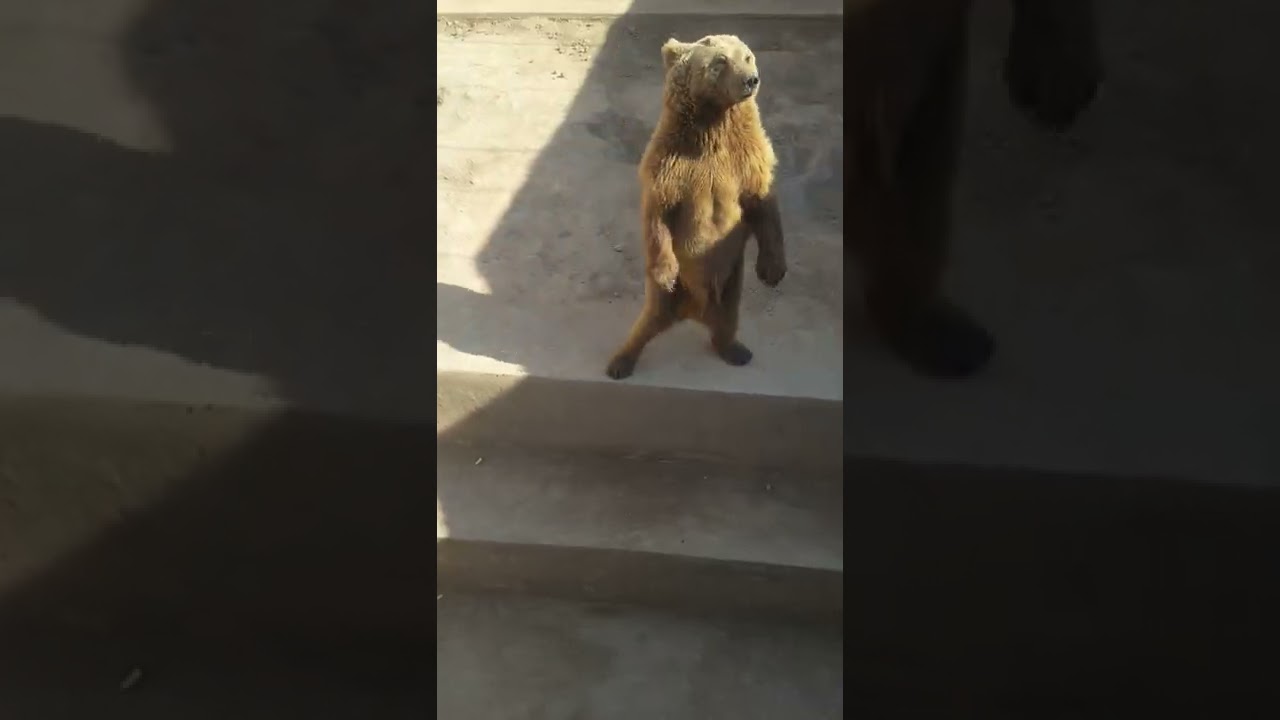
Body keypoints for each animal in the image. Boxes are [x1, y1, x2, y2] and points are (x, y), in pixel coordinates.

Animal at [605, 34, 785, 381]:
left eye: (747, 57)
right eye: (720, 61)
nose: (751, 79)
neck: (713, 124)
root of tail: (695, 310)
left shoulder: (748, 158)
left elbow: (763, 202)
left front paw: (772, 270)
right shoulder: (671, 163)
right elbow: (659, 211)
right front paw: (665, 272)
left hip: (730, 284)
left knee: (727, 321)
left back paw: (735, 350)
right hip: (668, 296)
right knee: (648, 321)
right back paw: (621, 361)